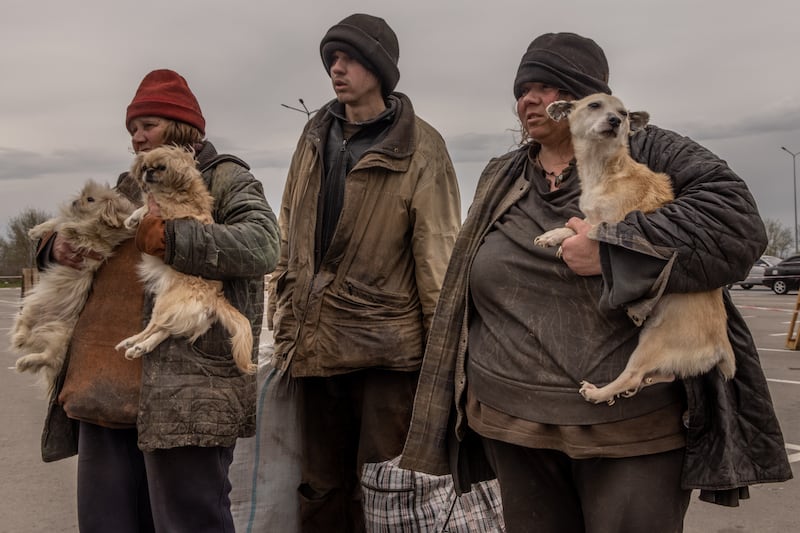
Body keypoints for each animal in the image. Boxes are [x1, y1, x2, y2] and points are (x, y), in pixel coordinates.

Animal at [10, 179, 136, 390]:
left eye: (90, 199)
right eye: (81, 196)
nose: (75, 201)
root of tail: (46, 324)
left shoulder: (98, 241)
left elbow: (86, 230)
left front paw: (75, 228)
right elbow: (56, 222)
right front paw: (36, 230)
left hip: (62, 337)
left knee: (48, 357)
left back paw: (23, 360)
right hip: (31, 308)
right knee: (25, 329)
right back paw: (20, 344)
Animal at [113, 143, 253, 372]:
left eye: (161, 167)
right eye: (144, 167)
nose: (147, 172)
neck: (177, 189)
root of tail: (213, 299)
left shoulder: (166, 213)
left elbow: (148, 207)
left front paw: (136, 218)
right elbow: (145, 205)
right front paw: (132, 218)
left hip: (164, 303)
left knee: (154, 327)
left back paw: (131, 342)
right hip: (177, 312)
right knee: (163, 331)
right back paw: (139, 348)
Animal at [536, 93, 736, 406]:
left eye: (624, 113)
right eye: (594, 105)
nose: (615, 121)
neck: (604, 169)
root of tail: (720, 347)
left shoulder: (609, 223)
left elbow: (588, 228)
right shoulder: (592, 215)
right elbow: (576, 222)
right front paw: (553, 235)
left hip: (651, 342)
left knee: (632, 374)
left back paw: (599, 392)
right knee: (666, 375)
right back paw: (641, 384)